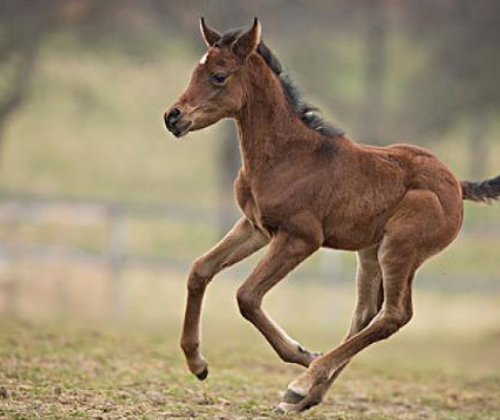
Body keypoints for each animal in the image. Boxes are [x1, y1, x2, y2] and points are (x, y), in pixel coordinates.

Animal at [164, 18, 500, 412]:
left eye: (219, 76)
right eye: (195, 71)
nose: (173, 117)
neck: (287, 155)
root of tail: (456, 185)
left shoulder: (300, 238)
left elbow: (246, 296)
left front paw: (302, 354)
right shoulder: (255, 227)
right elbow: (199, 270)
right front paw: (197, 363)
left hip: (401, 248)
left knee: (393, 315)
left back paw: (302, 383)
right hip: (370, 251)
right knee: (365, 313)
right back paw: (308, 395)